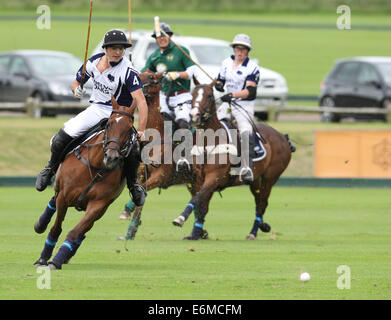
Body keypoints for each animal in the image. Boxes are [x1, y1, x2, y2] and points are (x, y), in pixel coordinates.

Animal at [34, 98, 138, 270]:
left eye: (129, 128)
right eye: (109, 124)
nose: (111, 157)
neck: (95, 166)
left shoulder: (98, 205)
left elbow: (75, 232)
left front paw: (57, 260)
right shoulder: (64, 196)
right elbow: (56, 228)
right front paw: (43, 259)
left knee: (82, 232)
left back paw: (67, 255)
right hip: (58, 185)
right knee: (53, 200)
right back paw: (40, 224)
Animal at [173, 82, 296, 240]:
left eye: (209, 95)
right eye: (193, 94)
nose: (194, 115)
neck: (208, 141)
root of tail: (283, 137)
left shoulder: (214, 176)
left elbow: (197, 199)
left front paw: (180, 219)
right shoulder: (197, 179)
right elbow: (201, 205)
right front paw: (195, 234)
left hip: (270, 178)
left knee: (262, 204)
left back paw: (253, 233)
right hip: (255, 180)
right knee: (259, 202)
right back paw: (260, 227)